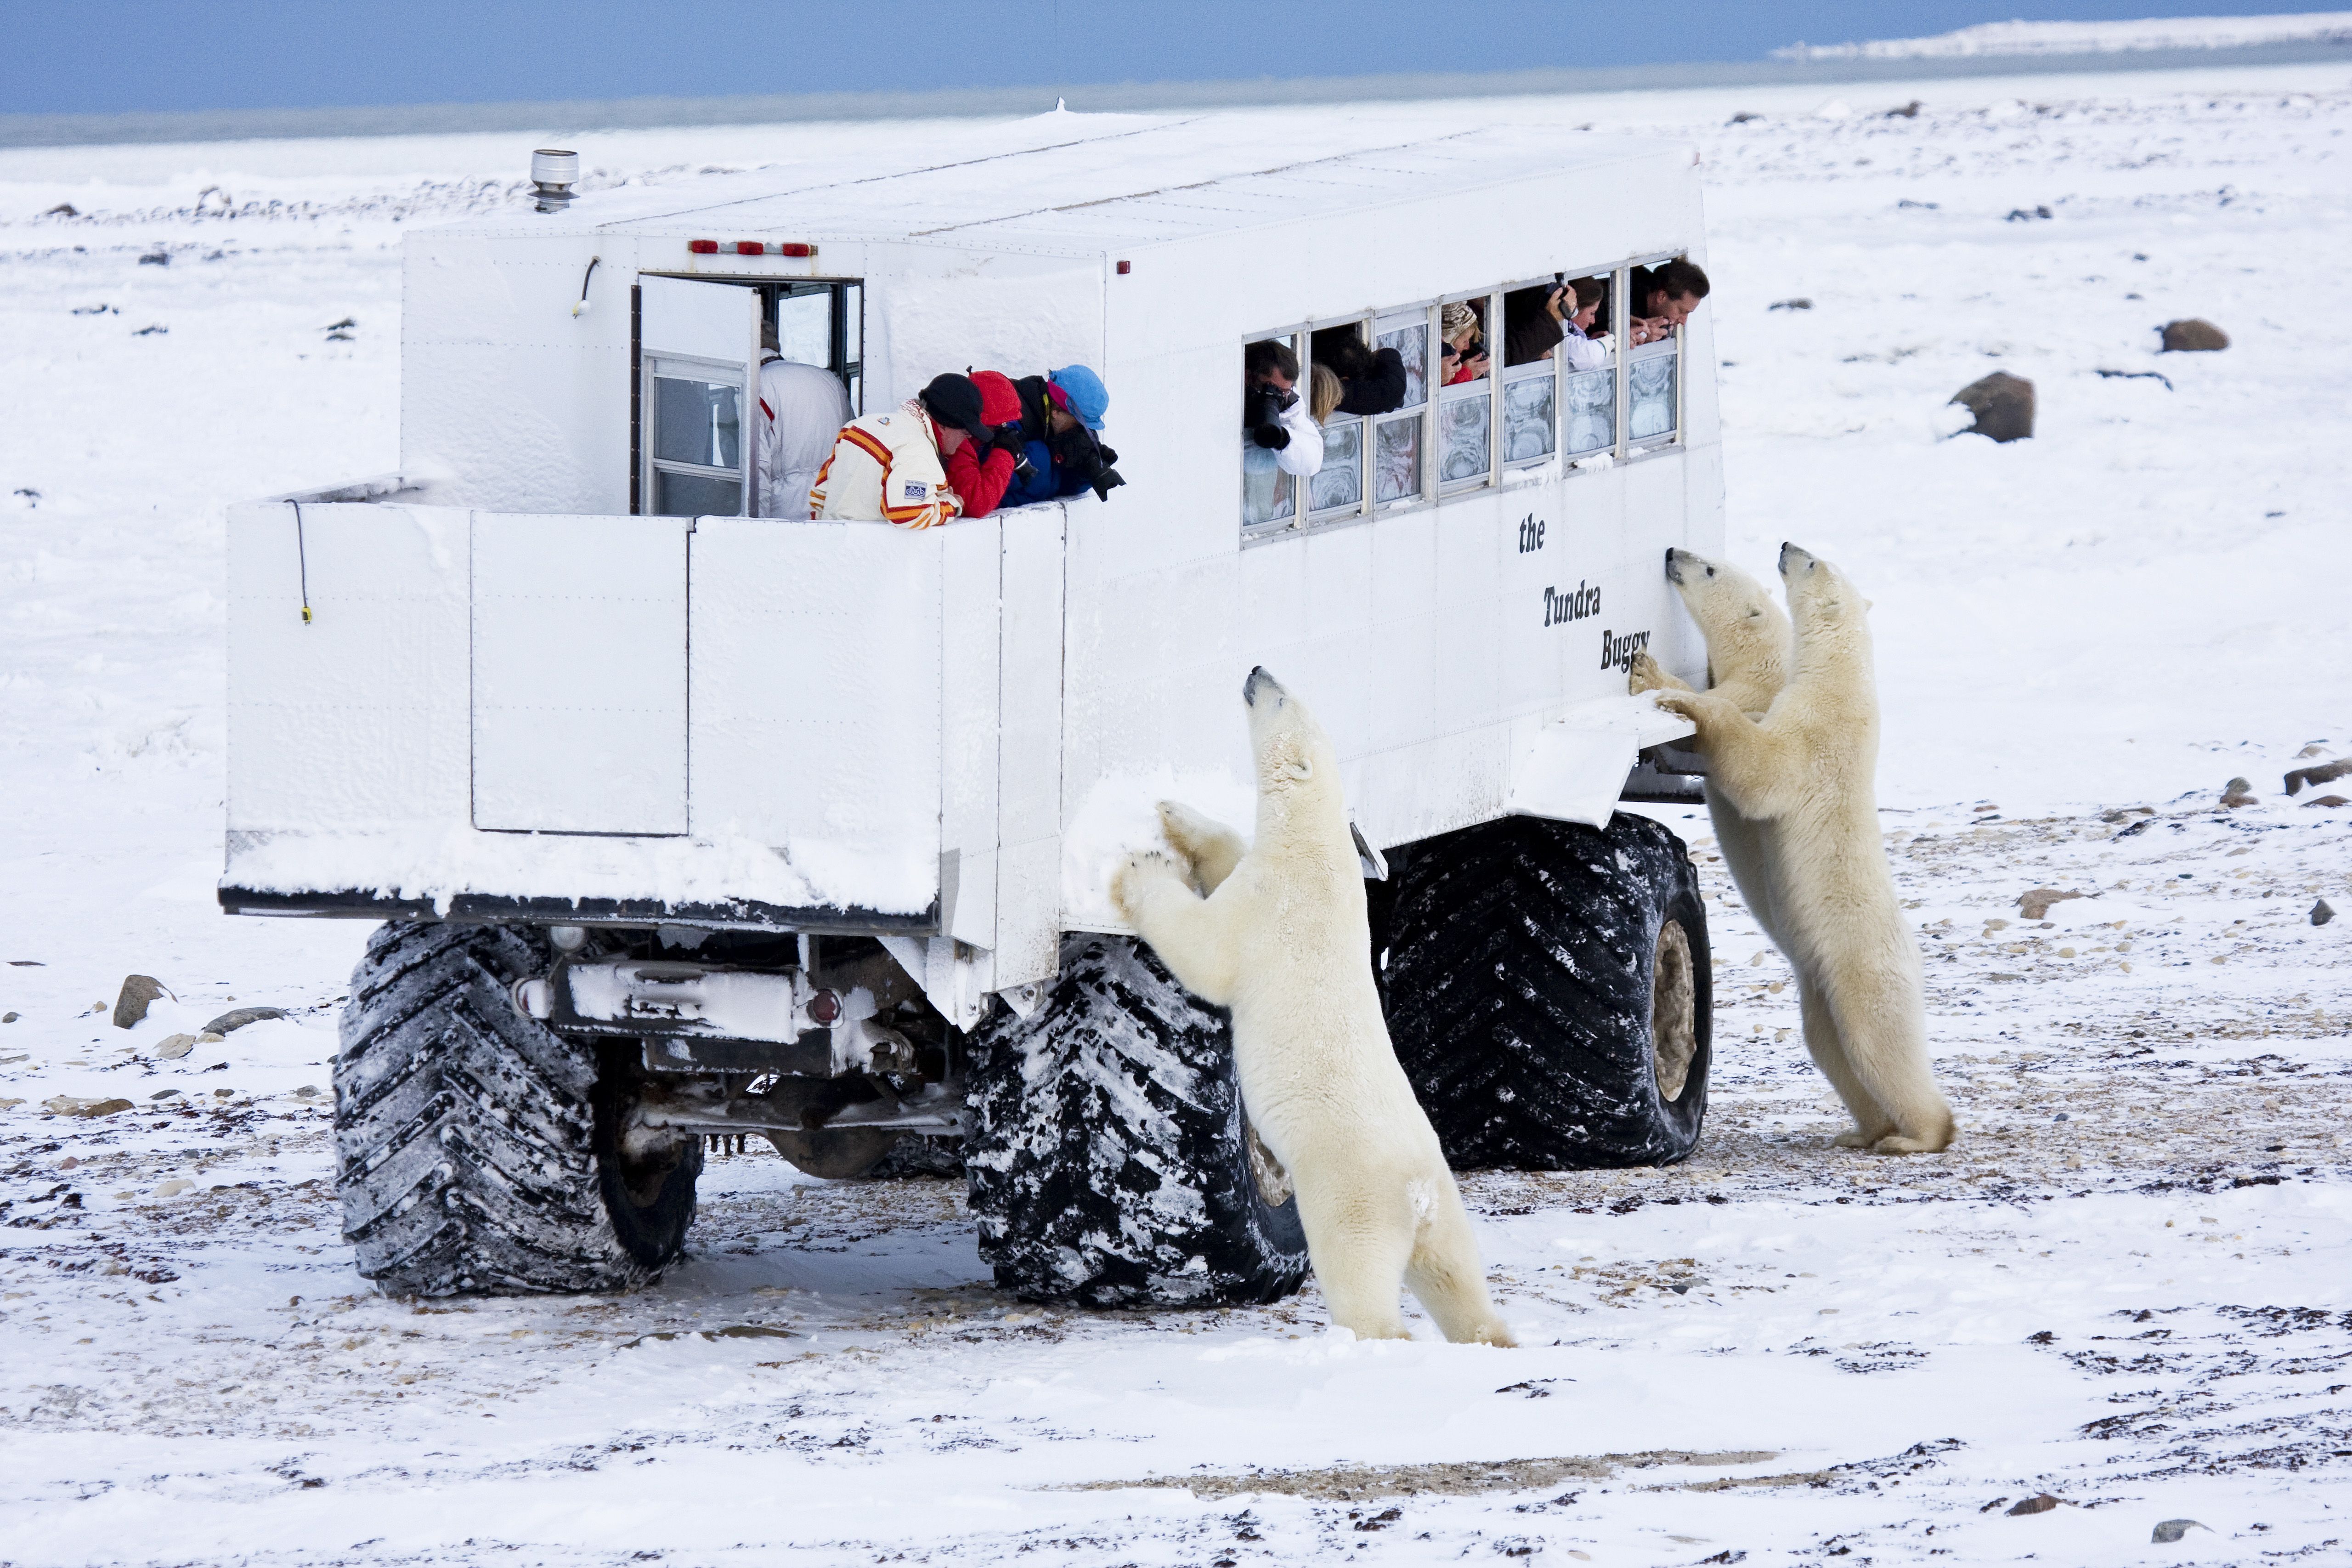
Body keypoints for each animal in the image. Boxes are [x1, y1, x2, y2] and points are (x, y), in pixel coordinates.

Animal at [1110, 668, 1515, 1344]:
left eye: (1282, 699)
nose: (1256, 670)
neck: (1316, 844)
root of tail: (1416, 1192)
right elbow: (1227, 855)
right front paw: (1177, 816)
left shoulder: (1275, 904)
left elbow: (1205, 949)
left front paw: (1142, 866)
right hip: (1444, 1202)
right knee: (1455, 1275)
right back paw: (1491, 1336)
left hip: (1352, 1194)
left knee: (1361, 1276)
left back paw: (1375, 1337)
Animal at [1628, 545, 1787, 950]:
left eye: (1711, 570)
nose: (1672, 553)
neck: (1762, 653)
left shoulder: (1751, 691)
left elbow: (1703, 723)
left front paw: (1648, 673)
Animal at [1656, 550, 1966, 1152]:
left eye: (1709, 568)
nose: (1673, 555)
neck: (1841, 681)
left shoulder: (1809, 731)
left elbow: (1759, 767)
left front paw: (1666, 688)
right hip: (1818, 988)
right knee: (1831, 1048)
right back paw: (1863, 1130)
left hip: (1861, 969)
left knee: (1879, 1043)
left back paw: (1915, 1136)